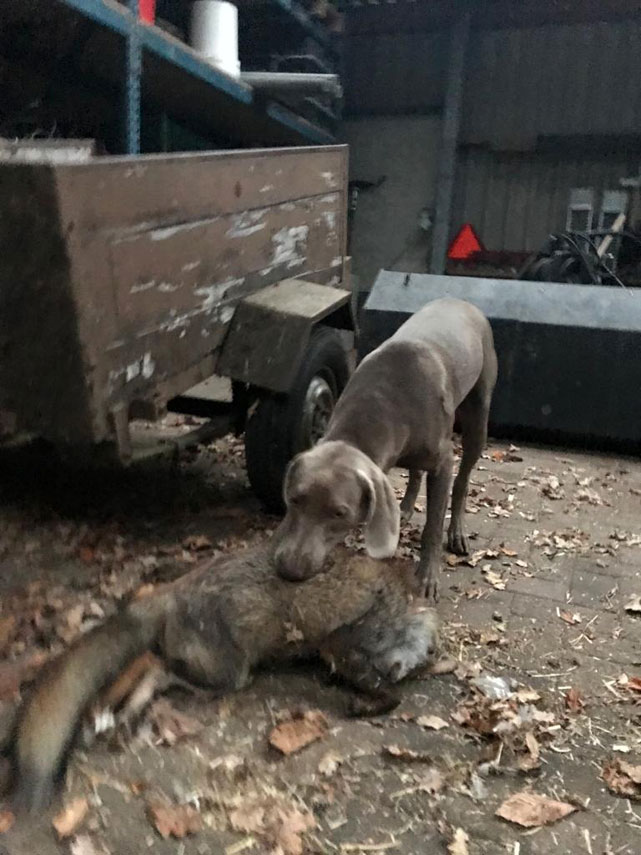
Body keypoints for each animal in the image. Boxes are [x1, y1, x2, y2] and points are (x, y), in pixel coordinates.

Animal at [10, 544, 438, 812]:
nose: (402, 668)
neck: (400, 610)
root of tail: (173, 589)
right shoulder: (341, 643)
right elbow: (387, 694)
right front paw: (368, 703)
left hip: (207, 666)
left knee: (150, 667)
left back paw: (117, 716)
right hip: (229, 674)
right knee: (156, 666)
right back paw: (110, 715)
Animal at [272, 298, 498, 600]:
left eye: (339, 513)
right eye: (294, 499)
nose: (289, 570)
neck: (381, 402)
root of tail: (460, 301)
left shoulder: (443, 461)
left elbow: (433, 526)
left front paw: (427, 578)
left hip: (479, 414)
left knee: (462, 479)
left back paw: (457, 533)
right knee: (416, 471)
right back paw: (405, 508)